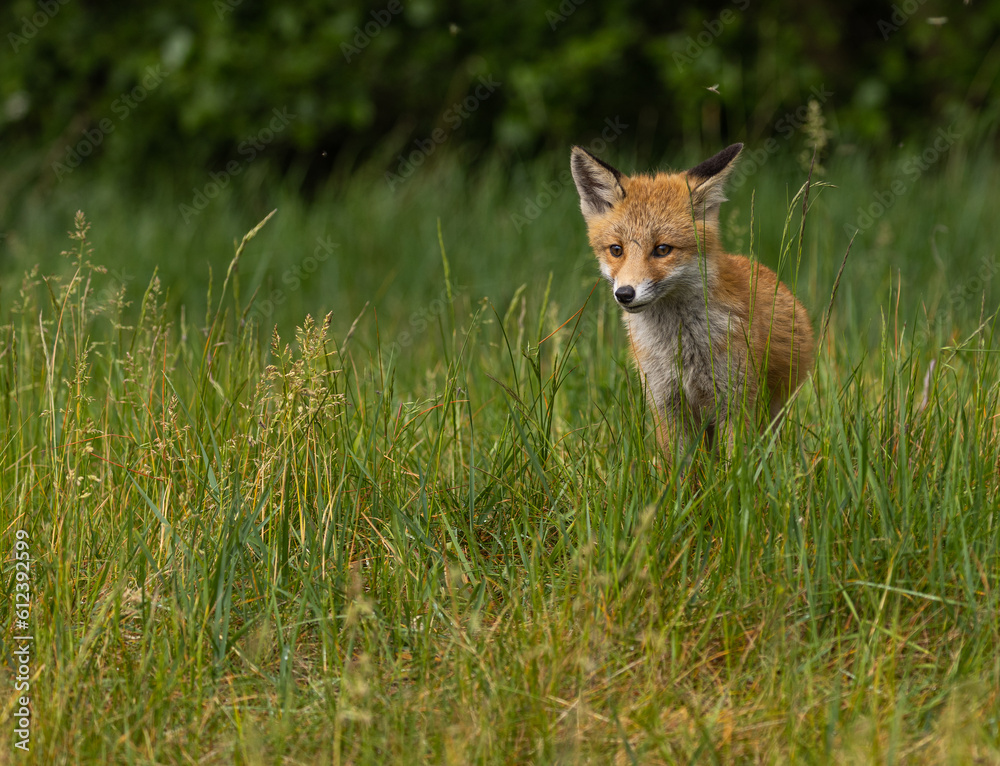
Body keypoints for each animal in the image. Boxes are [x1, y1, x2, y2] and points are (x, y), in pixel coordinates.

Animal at [570, 143, 814, 458]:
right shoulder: (665, 402)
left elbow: (735, 465)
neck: (681, 347)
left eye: (662, 249)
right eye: (616, 250)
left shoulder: (735, 401)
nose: (624, 294)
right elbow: (678, 466)